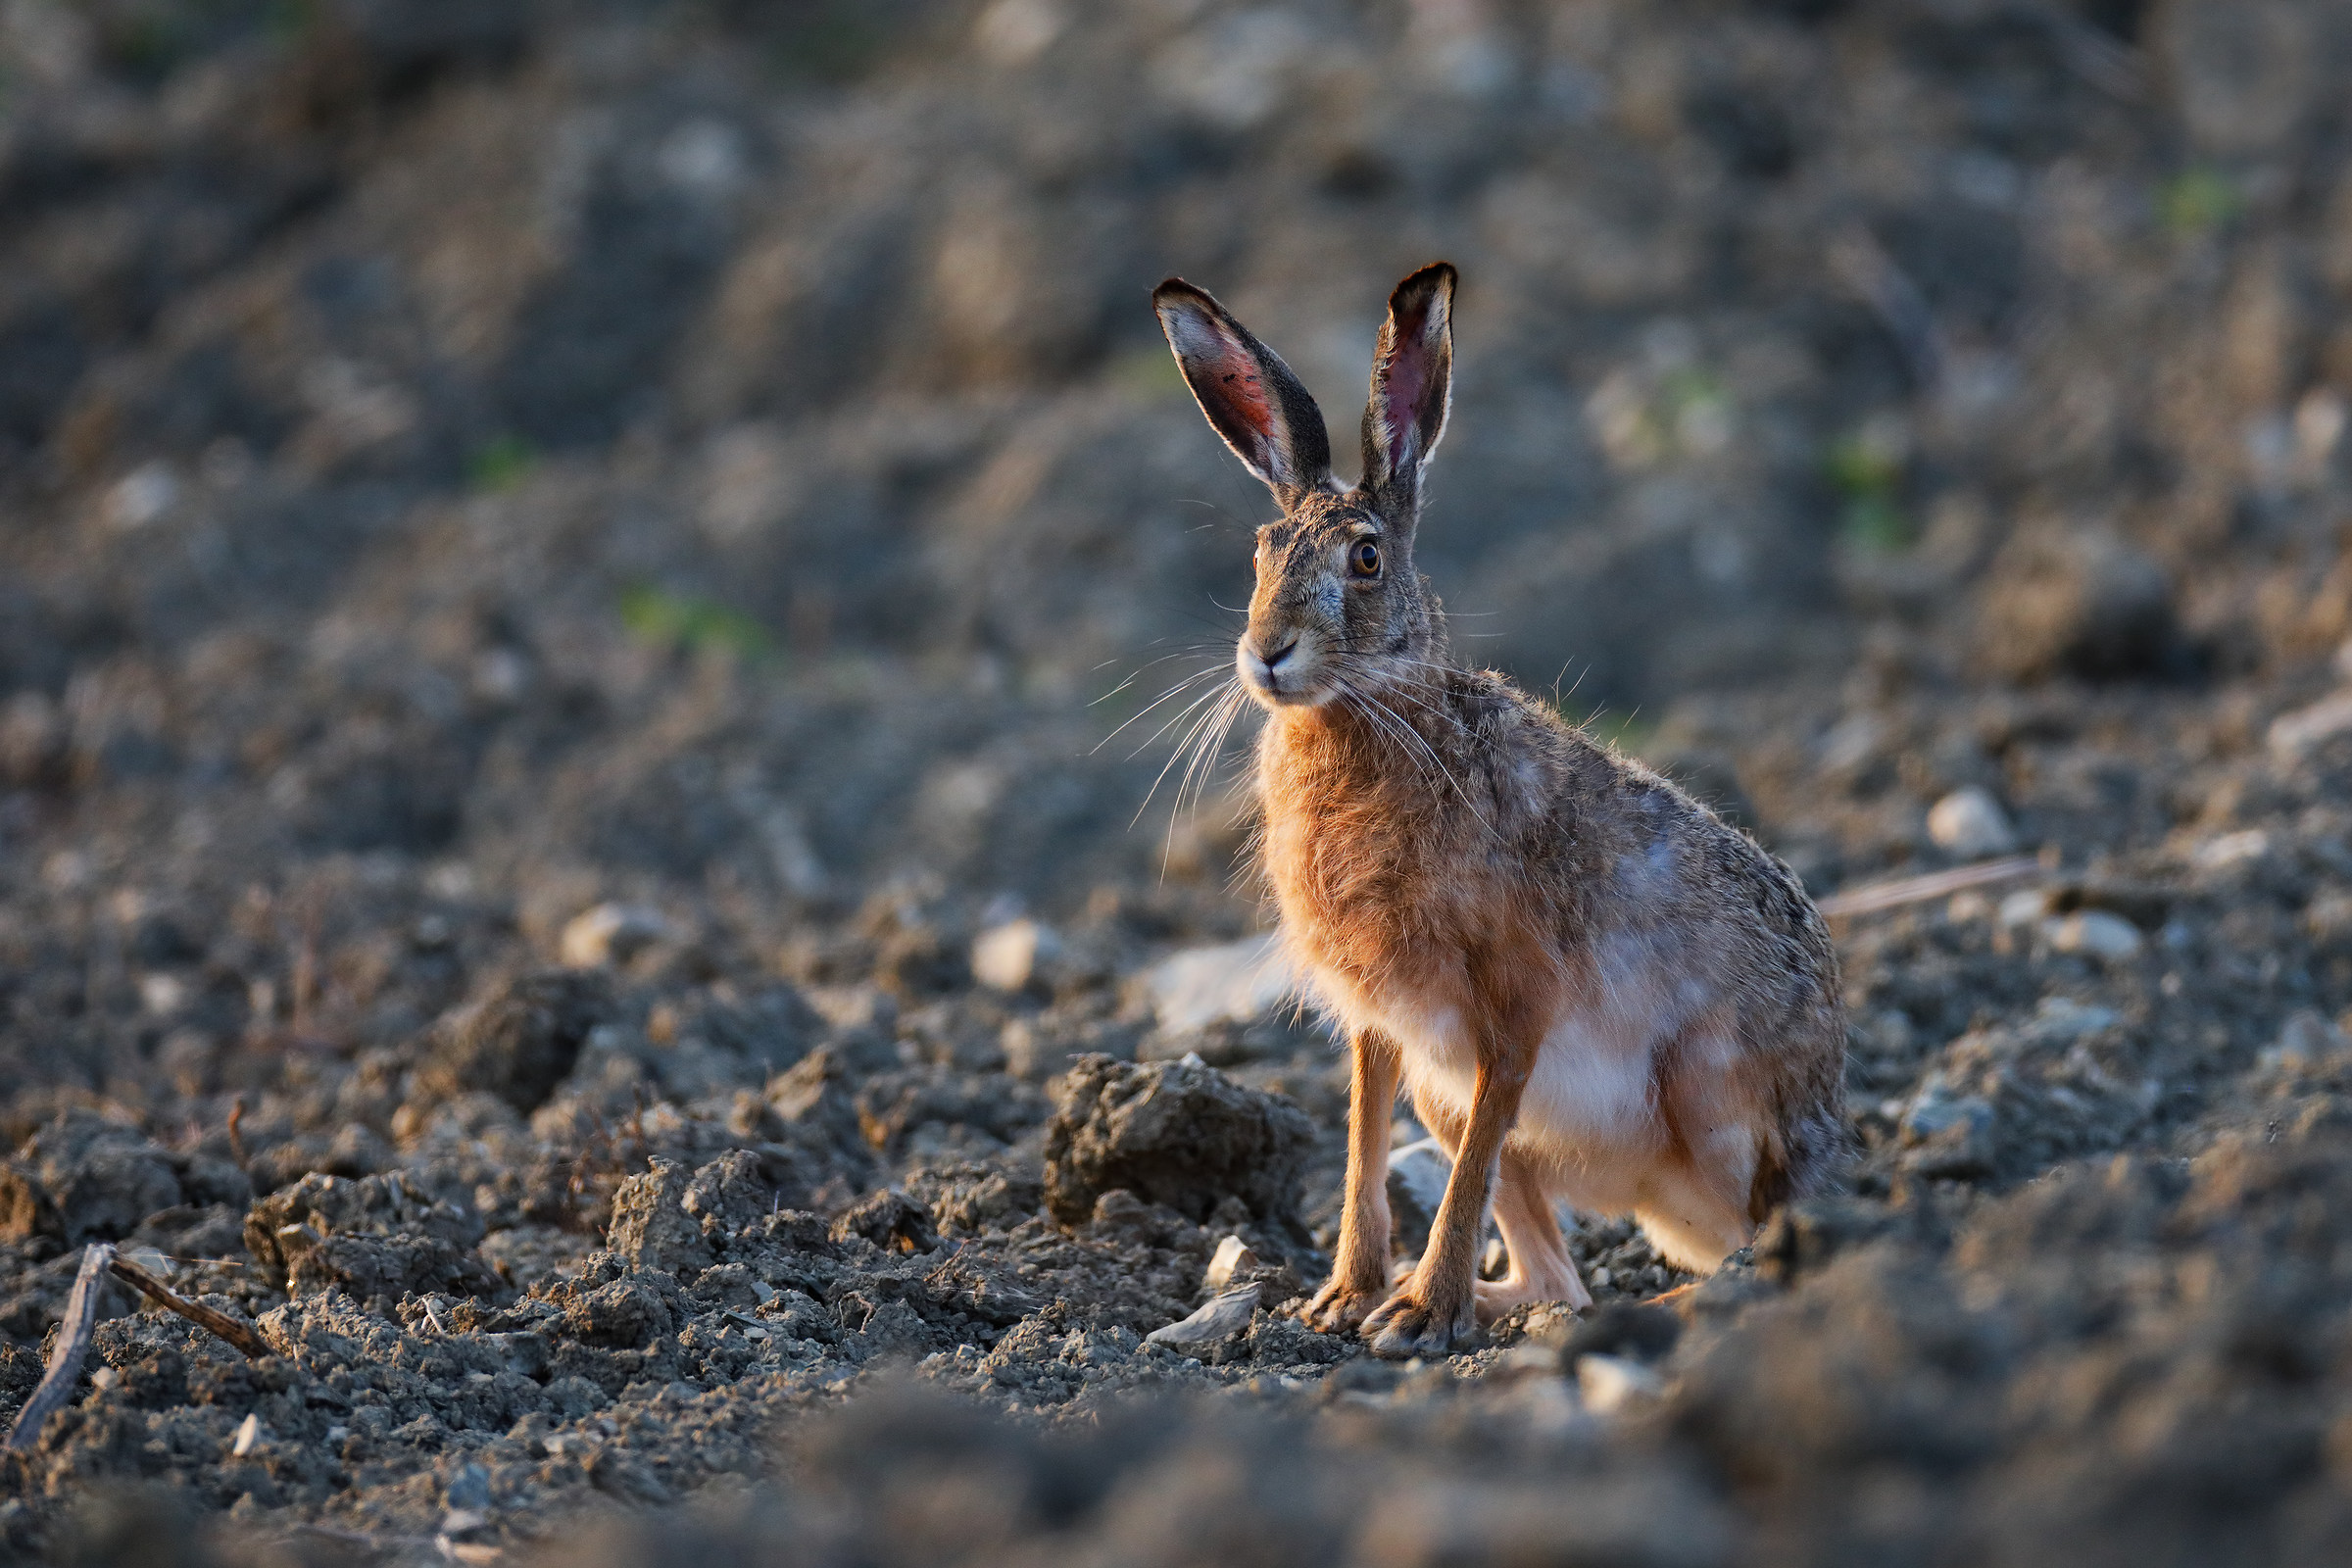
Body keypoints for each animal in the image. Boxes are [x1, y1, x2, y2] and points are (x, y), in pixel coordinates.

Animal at [1151, 262, 1848, 1358]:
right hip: (1449, 1093)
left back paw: (1654, 1304)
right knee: (1559, 1276)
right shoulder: (1380, 1025)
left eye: (1364, 560)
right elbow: (1362, 1142)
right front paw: (1343, 1298)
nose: (1266, 654)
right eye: (1261, 551)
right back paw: (1491, 1307)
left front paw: (1414, 1316)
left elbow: (1474, 1154)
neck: (1372, 711)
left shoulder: (1514, 1004)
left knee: (1753, 1245)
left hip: (1714, 1095)